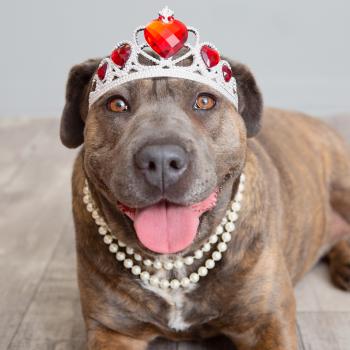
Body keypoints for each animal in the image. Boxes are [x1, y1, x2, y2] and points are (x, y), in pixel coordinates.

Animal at [59, 15, 350, 350]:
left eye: (205, 101)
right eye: (117, 104)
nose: (161, 159)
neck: (173, 264)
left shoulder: (267, 321)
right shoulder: (112, 330)